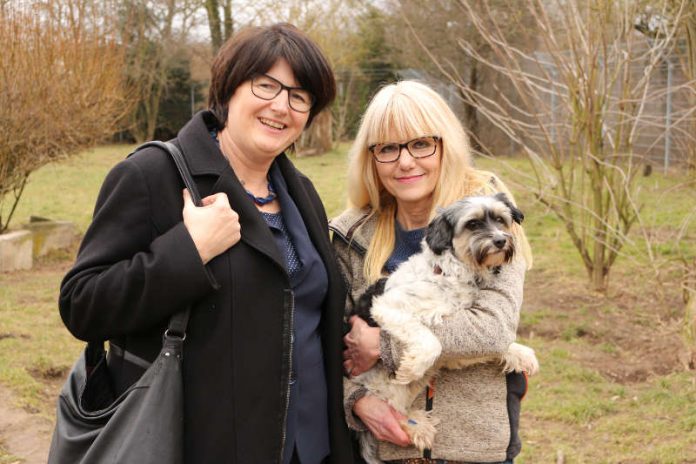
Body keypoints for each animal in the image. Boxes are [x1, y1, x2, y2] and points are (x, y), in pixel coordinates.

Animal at [354, 193, 540, 464]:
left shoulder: (455, 350)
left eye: (500, 219)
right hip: (388, 386)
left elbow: (494, 345)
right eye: (472, 224)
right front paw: (411, 366)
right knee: (391, 408)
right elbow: (431, 342)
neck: (450, 274)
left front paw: (522, 354)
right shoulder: (388, 306)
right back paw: (418, 426)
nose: (500, 240)